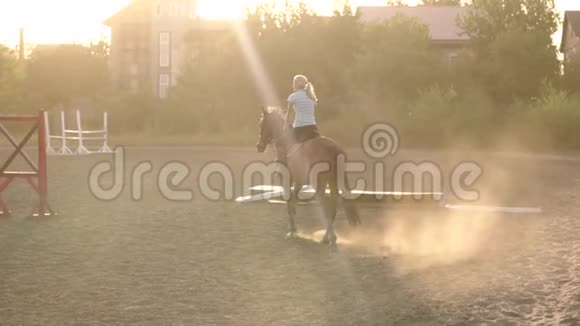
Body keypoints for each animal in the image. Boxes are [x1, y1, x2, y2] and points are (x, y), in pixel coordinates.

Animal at [256, 107, 360, 247]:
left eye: (262, 124)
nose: (259, 146)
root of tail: (333, 147)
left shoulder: (287, 179)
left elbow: (289, 202)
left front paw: (291, 229)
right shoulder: (299, 181)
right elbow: (293, 201)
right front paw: (293, 228)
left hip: (320, 182)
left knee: (325, 207)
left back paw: (330, 237)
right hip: (332, 180)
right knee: (333, 207)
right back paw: (328, 237)